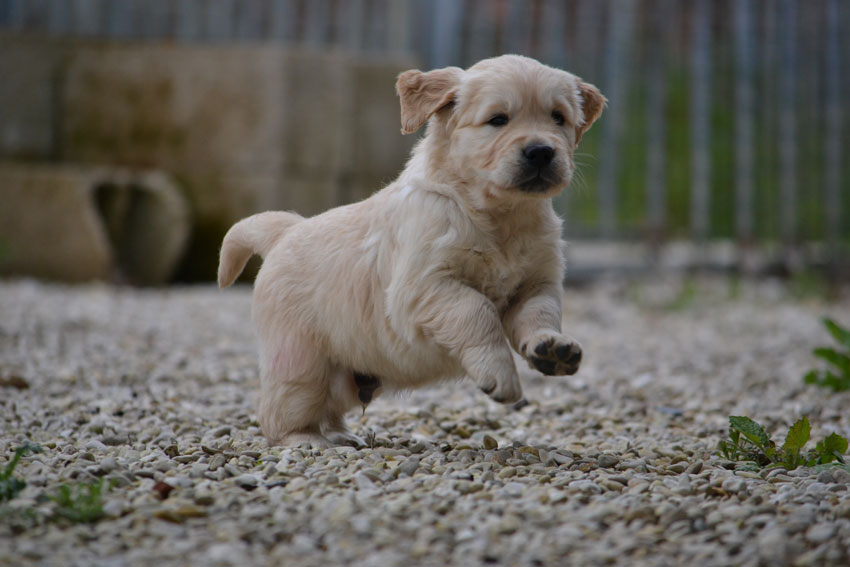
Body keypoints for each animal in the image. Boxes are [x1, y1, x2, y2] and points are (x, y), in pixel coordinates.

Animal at [219, 54, 604, 448]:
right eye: (498, 119)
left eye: (558, 117)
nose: (542, 151)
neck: (499, 216)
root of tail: (287, 229)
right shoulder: (423, 286)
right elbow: (476, 311)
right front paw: (499, 374)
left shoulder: (537, 283)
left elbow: (540, 312)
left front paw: (551, 346)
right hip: (299, 357)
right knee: (282, 410)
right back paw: (306, 440)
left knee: (330, 405)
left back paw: (343, 435)